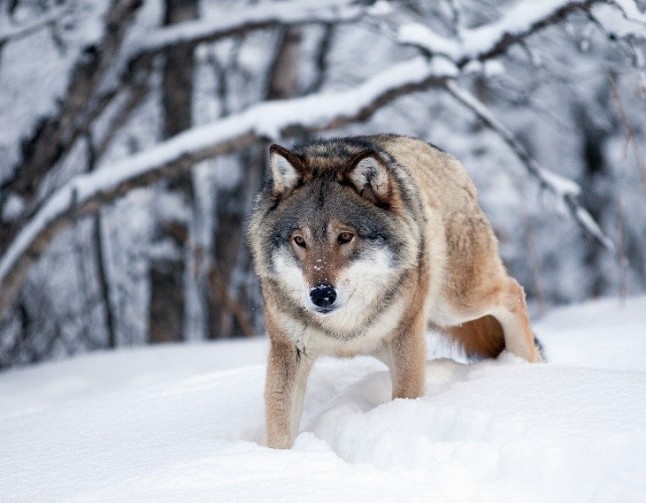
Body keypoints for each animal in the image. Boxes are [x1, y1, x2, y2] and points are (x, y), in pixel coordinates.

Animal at [248, 134, 542, 449]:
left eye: (345, 237)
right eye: (299, 240)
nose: (321, 294)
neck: (344, 327)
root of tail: (443, 155)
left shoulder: (406, 336)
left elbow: (405, 395)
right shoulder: (287, 350)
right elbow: (279, 429)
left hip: (454, 305)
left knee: (513, 292)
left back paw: (527, 365)